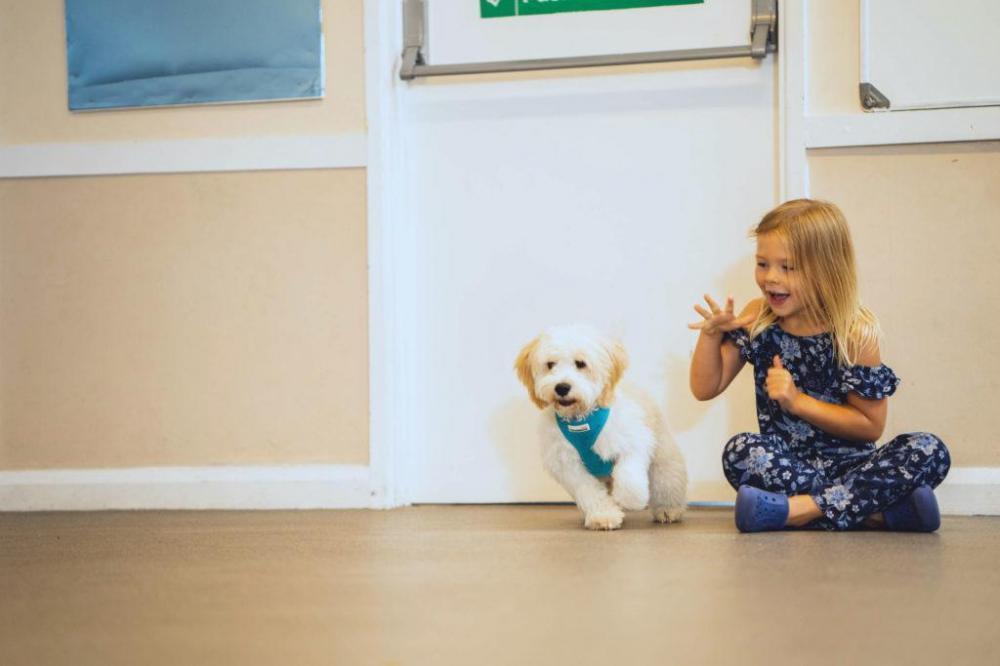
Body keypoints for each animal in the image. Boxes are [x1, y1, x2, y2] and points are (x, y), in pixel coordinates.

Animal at [516, 322, 688, 528]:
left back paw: (668, 509)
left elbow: (628, 476)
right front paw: (603, 515)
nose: (562, 387)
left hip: (663, 457)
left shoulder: (632, 442)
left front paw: (632, 500)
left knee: (667, 479)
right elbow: (588, 490)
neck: (582, 418)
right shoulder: (567, 464)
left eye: (581, 363)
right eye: (550, 365)